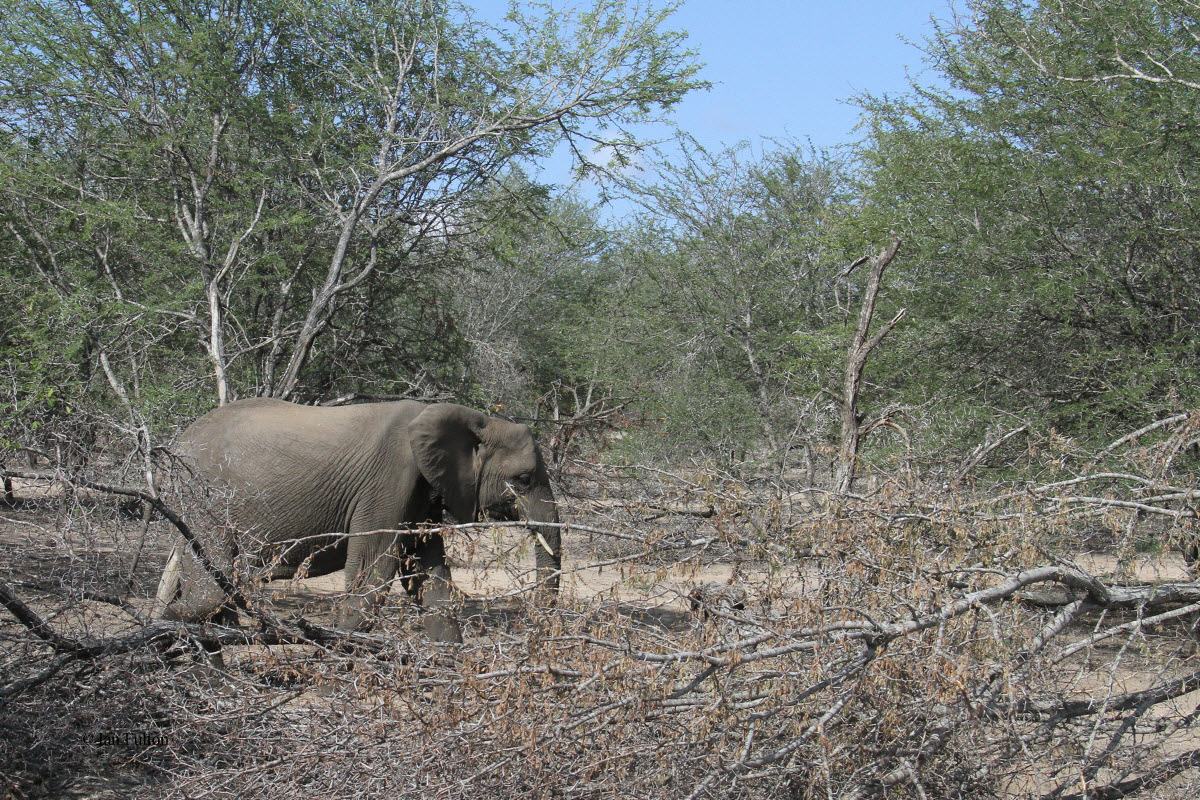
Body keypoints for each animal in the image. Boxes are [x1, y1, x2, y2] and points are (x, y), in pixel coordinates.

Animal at [154, 400, 561, 642]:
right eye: (524, 479)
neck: (476, 420)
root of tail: (175, 443)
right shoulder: (387, 483)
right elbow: (372, 574)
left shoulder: (422, 494)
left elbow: (428, 575)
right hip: (202, 497)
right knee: (210, 591)